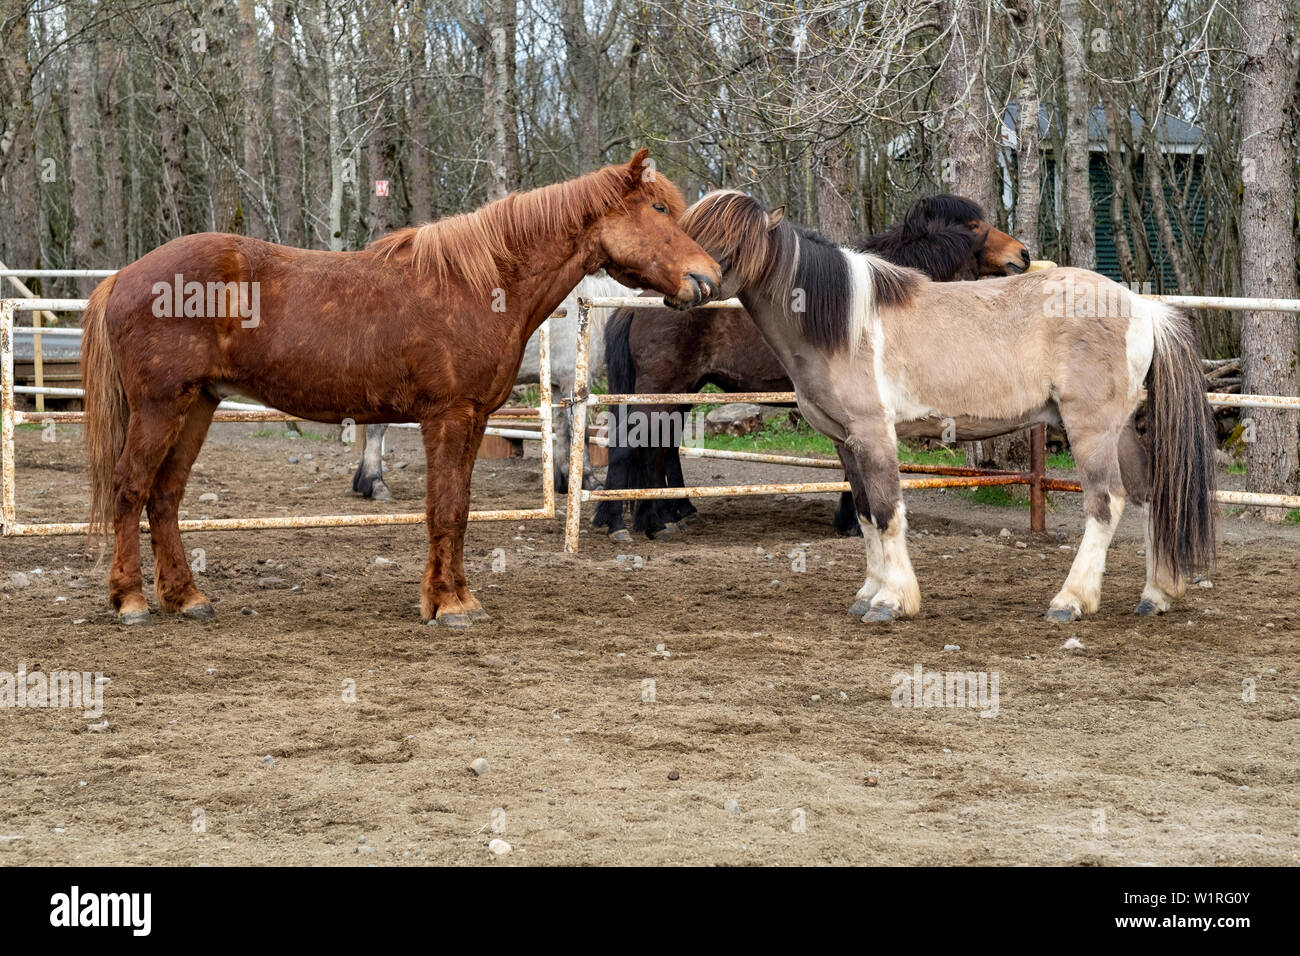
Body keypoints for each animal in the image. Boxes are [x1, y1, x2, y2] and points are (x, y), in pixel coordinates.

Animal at [351, 271, 638, 502]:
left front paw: (564, 480)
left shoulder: (557, 385)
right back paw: (375, 484)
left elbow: (562, 432)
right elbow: (578, 434)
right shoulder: (573, 381)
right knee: (377, 428)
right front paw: (588, 480)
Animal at [593, 194, 1031, 542]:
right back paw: (626, 521)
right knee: (631, 444)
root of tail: (635, 307)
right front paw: (852, 522)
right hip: (659, 388)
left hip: (680, 391)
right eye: (974, 225)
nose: (1023, 255)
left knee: (659, 448)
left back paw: (668, 512)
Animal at [662, 190, 1215, 622]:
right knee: (1148, 492)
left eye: (734, 241)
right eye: (688, 232)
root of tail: (1141, 307)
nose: (688, 285)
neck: (842, 325)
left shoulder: (874, 435)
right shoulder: (844, 442)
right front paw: (867, 594)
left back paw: (1070, 601)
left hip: (1090, 430)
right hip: (1117, 430)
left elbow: (888, 512)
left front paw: (892, 601)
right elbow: (865, 512)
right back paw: (1156, 595)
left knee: (1106, 502)